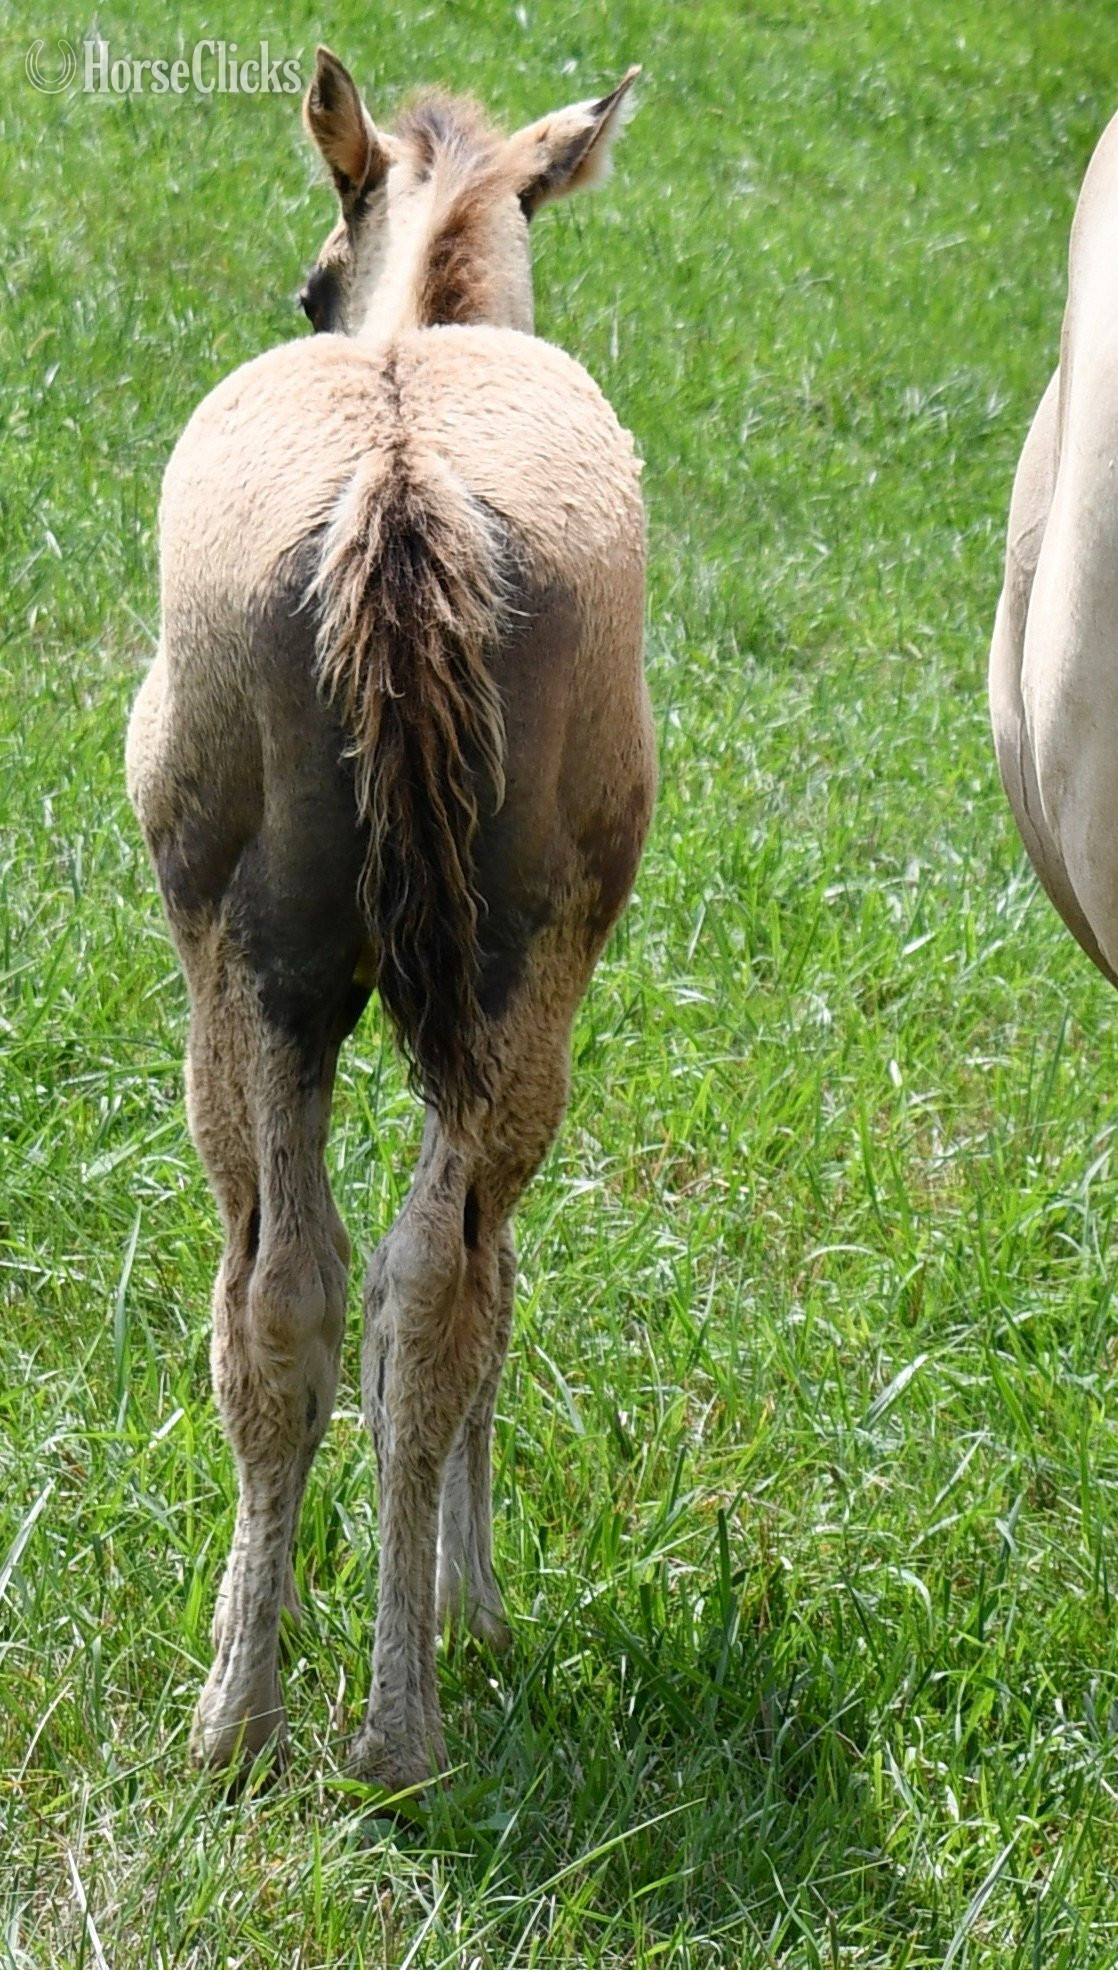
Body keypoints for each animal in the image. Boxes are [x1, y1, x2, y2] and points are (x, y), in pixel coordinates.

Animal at [125, 46, 655, 1793]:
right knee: (394, 1283)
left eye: (307, 282)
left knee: (325, 1284)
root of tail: (399, 486)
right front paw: (446, 1600)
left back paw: (304, 1706)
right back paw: (358, 1716)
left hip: (257, 959)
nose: (305, 298)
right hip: (491, 967)